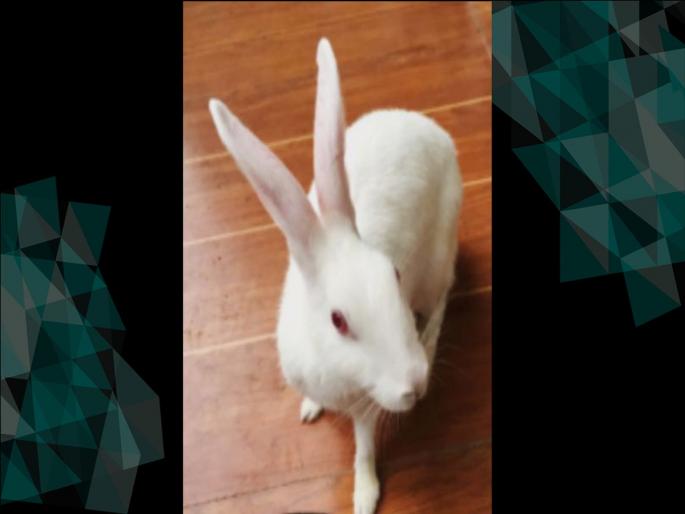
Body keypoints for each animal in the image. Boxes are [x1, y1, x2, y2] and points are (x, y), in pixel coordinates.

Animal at [208, 38, 462, 514]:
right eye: (338, 321)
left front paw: (364, 496)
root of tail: (431, 130)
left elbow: (363, 450)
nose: (415, 384)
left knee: (441, 299)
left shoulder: (365, 407)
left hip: (438, 260)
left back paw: (431, 340)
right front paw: (309, 408)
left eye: (394, 275)